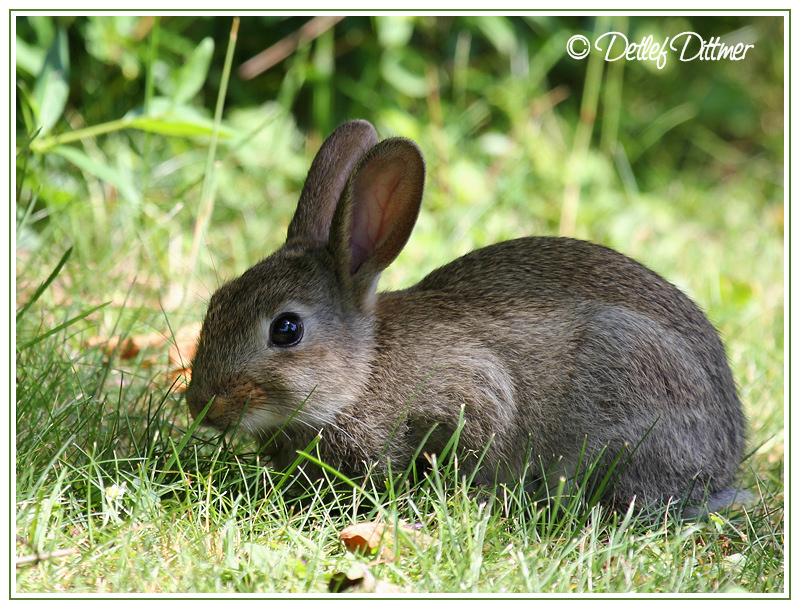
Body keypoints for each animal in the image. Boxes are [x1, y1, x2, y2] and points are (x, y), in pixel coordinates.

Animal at [184, 119, 748, 512]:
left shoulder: (473, 394)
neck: (360, 375)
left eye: (287, 329)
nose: (200, 406)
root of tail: (724, 462)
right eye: (216, 302)